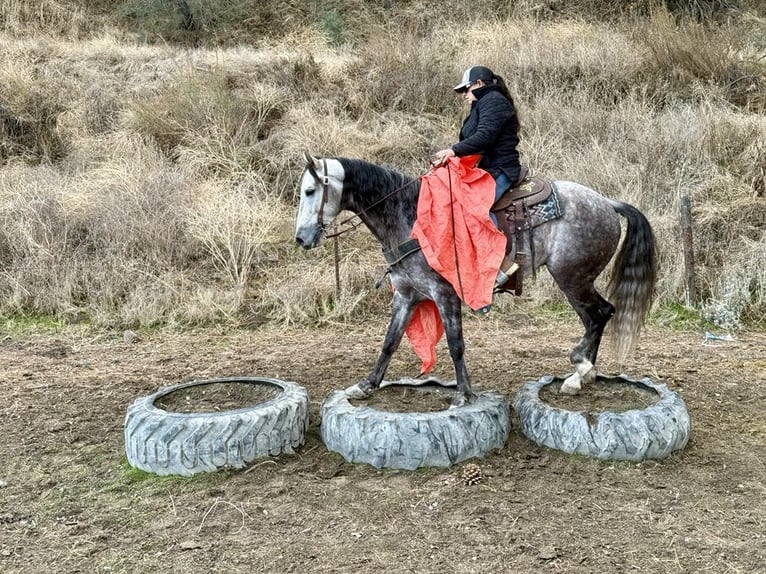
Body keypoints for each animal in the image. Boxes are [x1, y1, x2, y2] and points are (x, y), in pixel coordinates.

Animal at [296, 153, 656, 410]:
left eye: (310, 191)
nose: (301, 238)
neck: (410, 218)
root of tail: (607, 203)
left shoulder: (445, 294)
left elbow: (456, 344)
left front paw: (463, 393)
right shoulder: (406, 295)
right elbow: (389, 342)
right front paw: (366, 385)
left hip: (572, 278)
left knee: (600, 314)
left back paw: (580, 370)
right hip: (576, 281)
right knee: (597, 316)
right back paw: (583, 374)